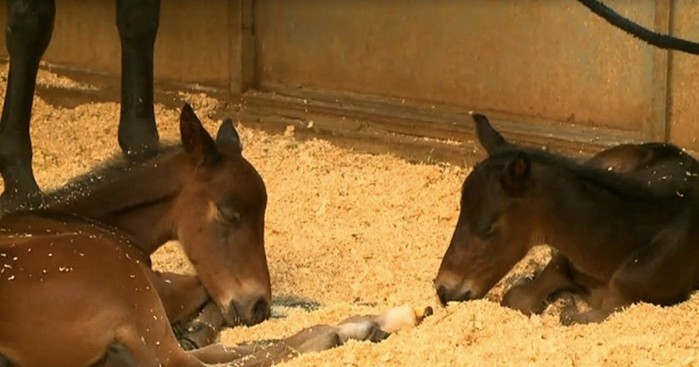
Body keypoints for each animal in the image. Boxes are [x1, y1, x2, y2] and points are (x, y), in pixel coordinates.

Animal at [434, 113, 699, 324]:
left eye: (487, 228)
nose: (443, 289)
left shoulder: (622, 302)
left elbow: (568, 316)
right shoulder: (561, 261)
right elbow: (518, 299)